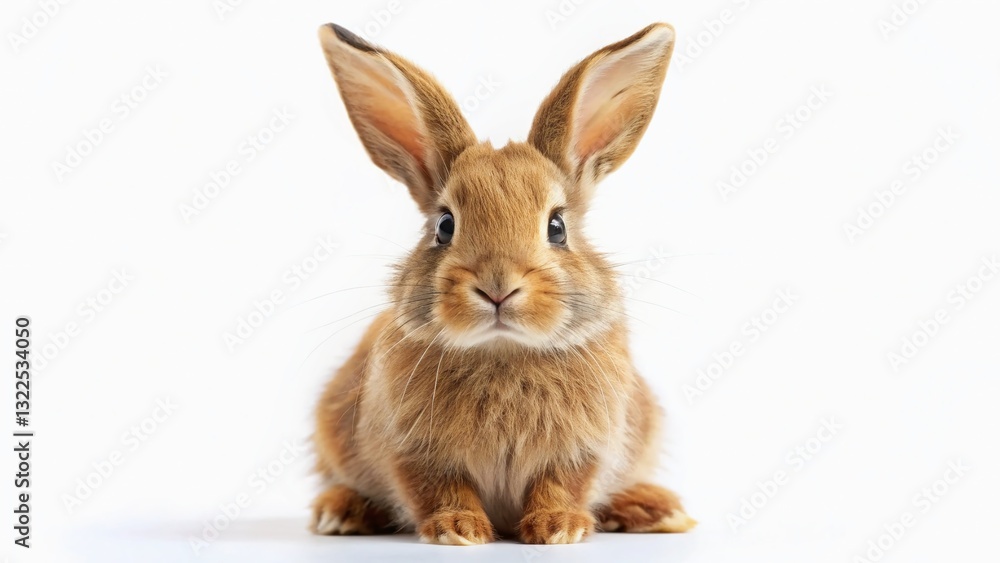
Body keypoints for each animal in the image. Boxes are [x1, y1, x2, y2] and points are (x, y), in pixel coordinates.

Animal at [311, 22, 696, 545]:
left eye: (557, 227)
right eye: (444, 226)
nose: (498, 286)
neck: (504, 351)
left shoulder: (583, 449)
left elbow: (561, 483)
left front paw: (559, 528)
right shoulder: (411, 449)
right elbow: (440, 487)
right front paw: (458, 529)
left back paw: (655, 509)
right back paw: (340, 511)